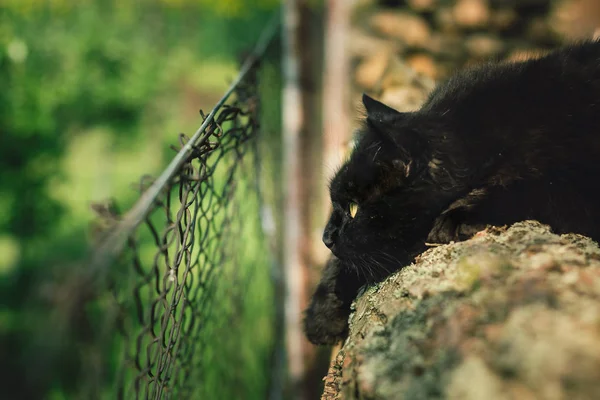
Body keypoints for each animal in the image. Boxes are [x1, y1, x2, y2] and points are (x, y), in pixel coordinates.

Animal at [304, 41, 600, 346]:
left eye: (353, 208)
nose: (325, 238)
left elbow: (527, 185)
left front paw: (457, 218)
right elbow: (339, 263)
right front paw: (322, 312)